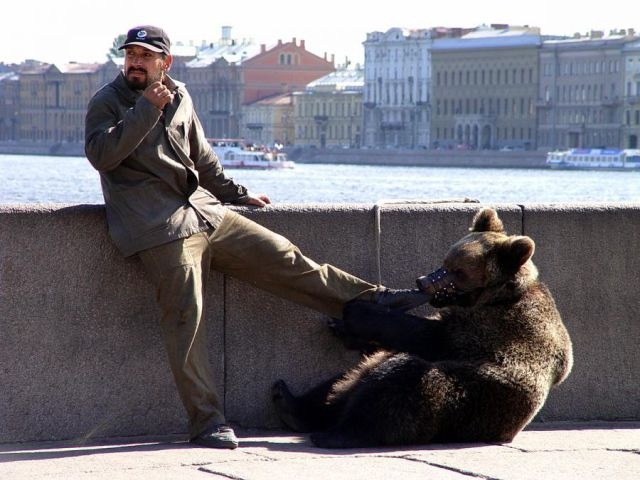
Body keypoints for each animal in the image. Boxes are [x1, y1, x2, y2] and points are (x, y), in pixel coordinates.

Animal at [272, 208, 572, 448]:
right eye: (445, 261)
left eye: (459, 271)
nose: (423, 281)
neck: (493, 296)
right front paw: (340, 326)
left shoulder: (492, 327)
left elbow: (427, 335)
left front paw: (357, 313)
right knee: (346, 379)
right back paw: (290, 403)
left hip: (471, 402)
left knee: (397, 386)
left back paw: (336, 434)